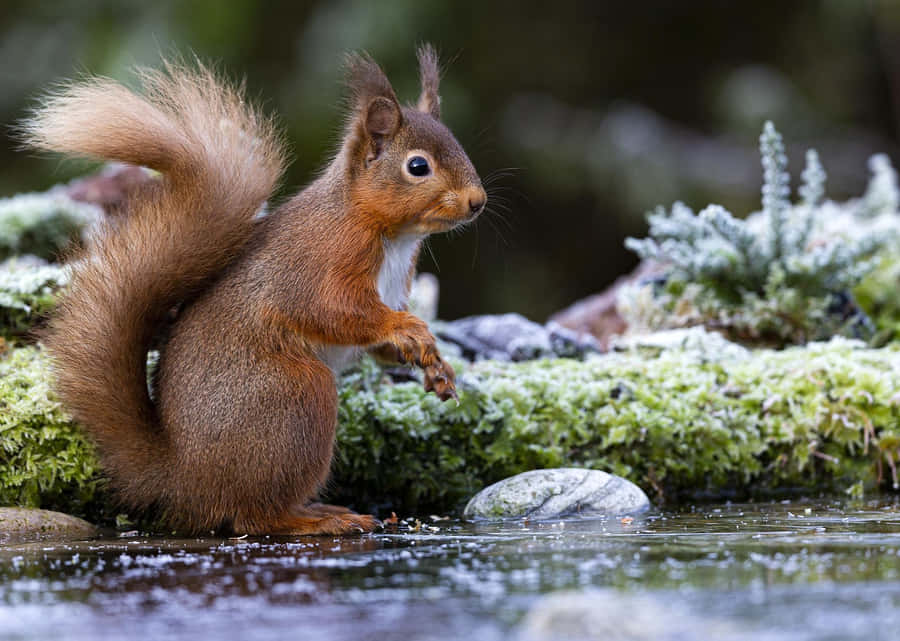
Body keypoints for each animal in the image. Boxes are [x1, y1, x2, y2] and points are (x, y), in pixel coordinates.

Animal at [22, 45, 486, 535]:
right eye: (418, 166)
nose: (478, 201)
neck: (391, 235)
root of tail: (183, 477)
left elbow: (377, 344)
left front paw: (434, 363)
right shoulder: (321, 260)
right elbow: (331, 310)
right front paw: (409, 328)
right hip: (294, 399)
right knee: (253, 515)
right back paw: (314, 520)